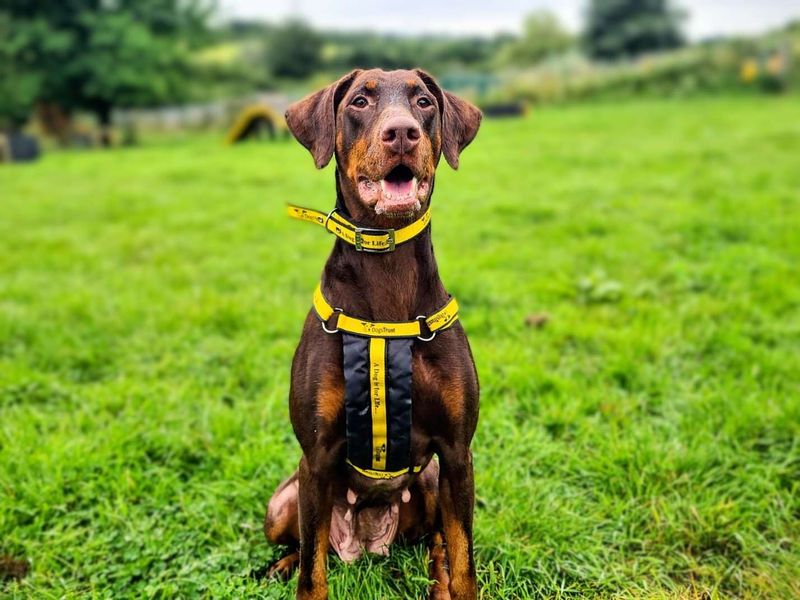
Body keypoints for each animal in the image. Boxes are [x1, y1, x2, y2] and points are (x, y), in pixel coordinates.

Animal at [266, 68, 484, 596]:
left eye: (424, 102)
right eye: (359, 102)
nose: (401, 132)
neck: (388, 266)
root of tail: (365, 543)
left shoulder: (457, 453)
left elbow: (464, 556)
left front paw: (456, 581)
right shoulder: (316, 457)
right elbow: (312, 576)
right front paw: (298, 574)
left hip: (430, 482)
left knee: (436, 541)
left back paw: (437, 581)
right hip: (282, 502)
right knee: (307, 544)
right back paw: (282, 565)